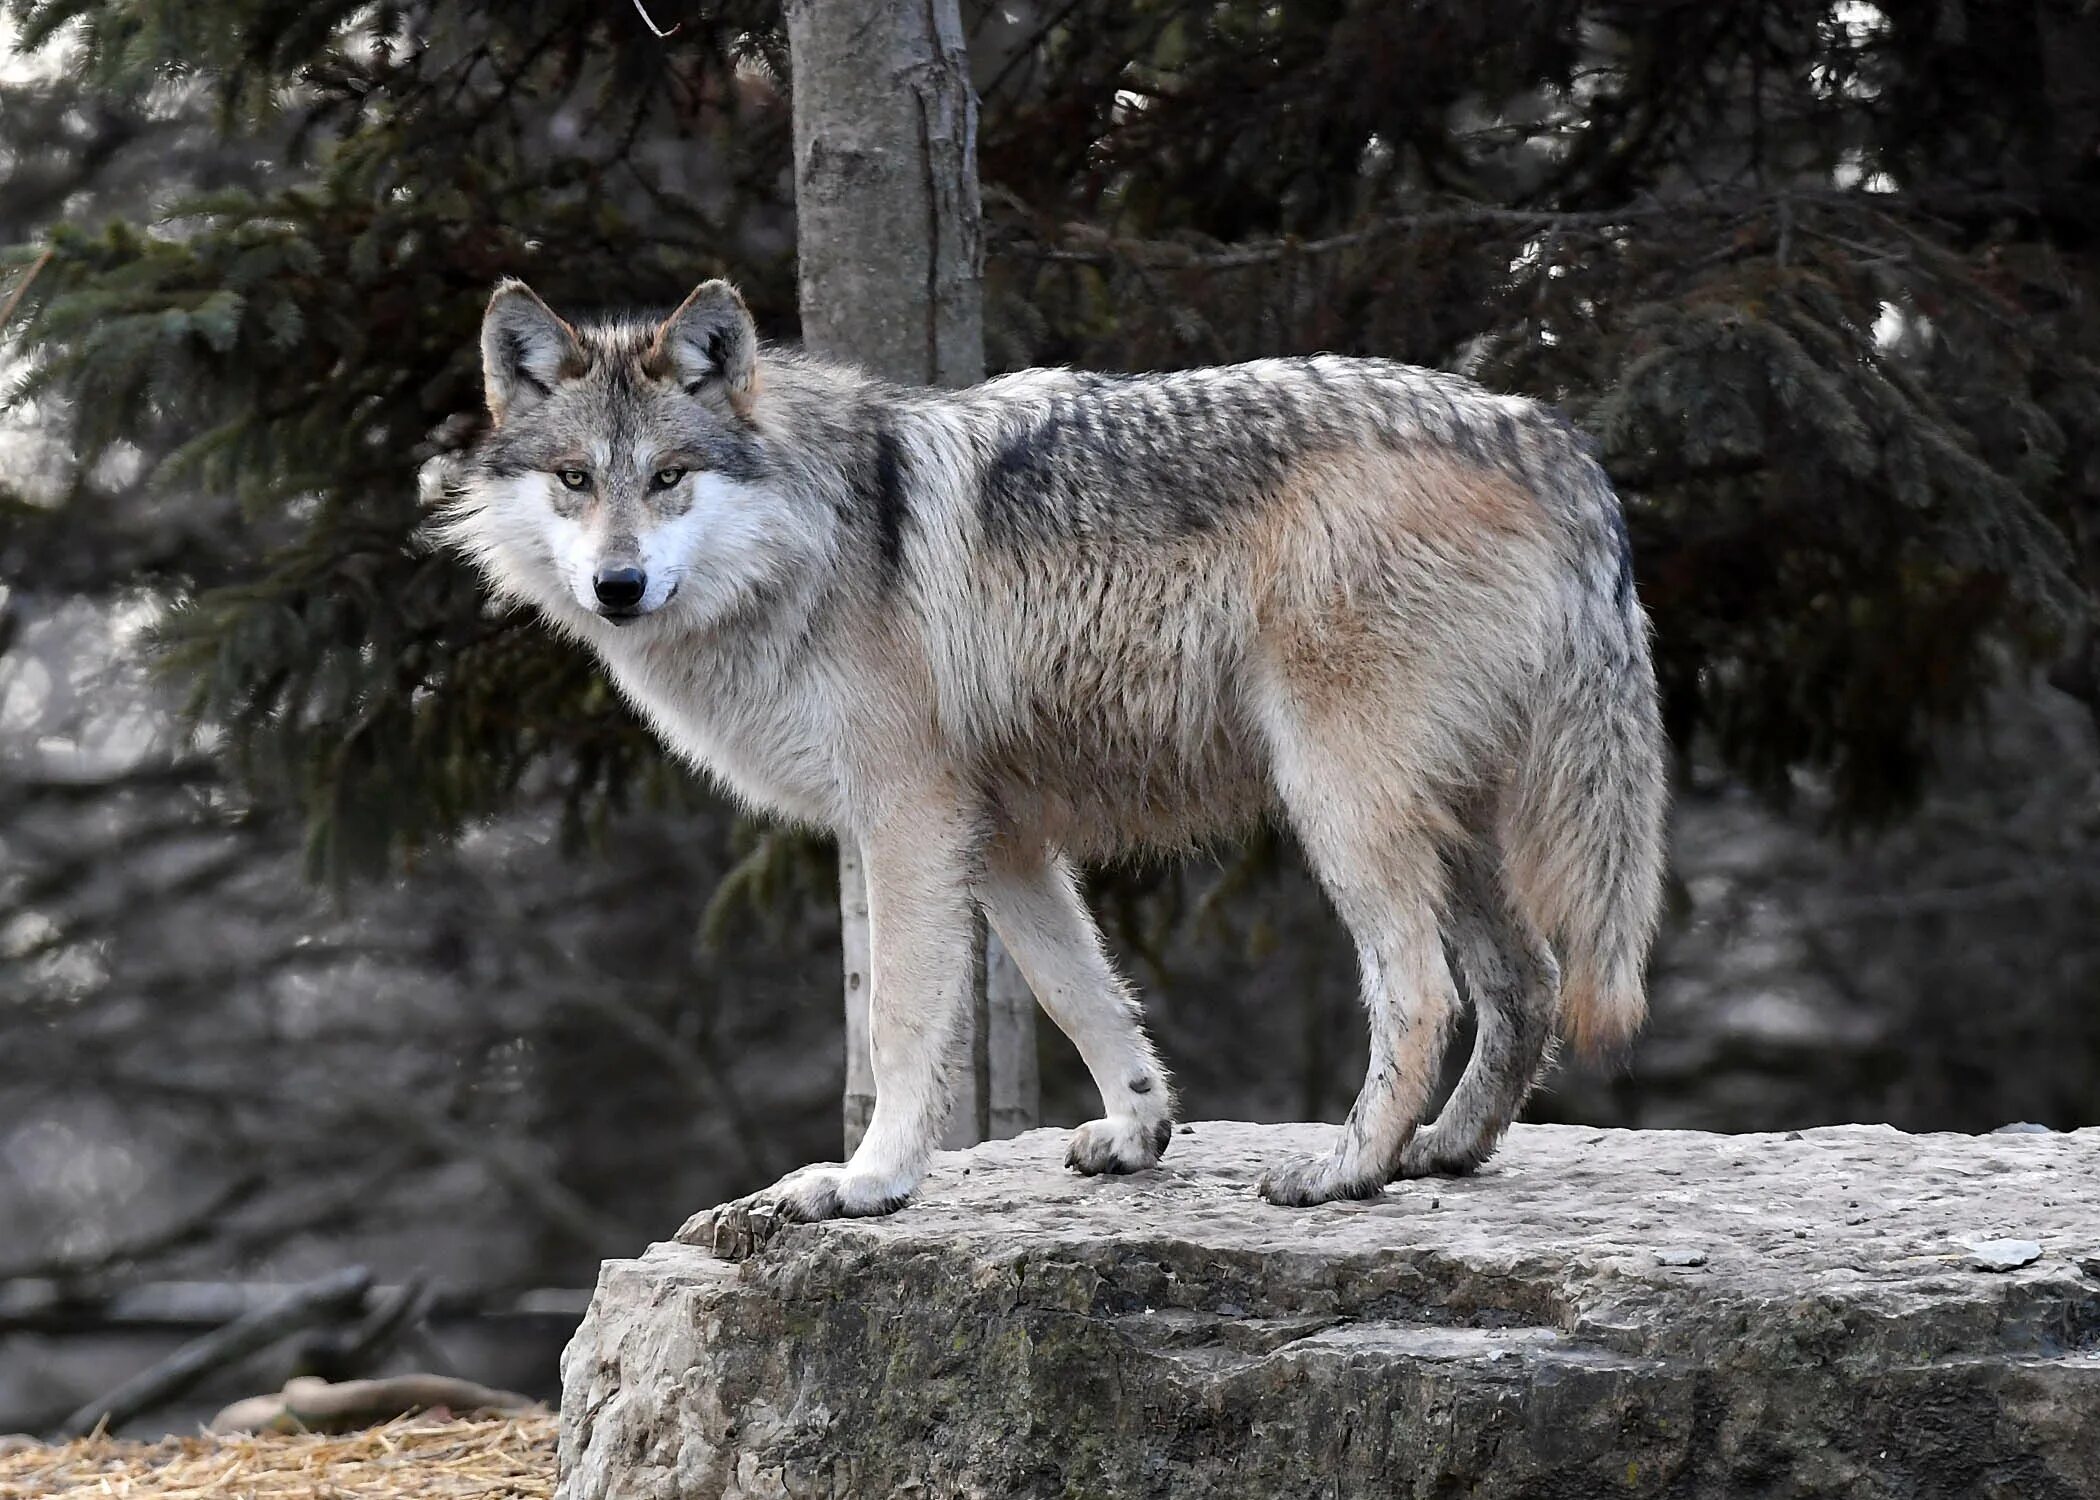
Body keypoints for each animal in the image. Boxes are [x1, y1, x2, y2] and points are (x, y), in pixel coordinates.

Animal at [434, 275, 1663, 1218]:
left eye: (669, 477)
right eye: (576, 479)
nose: (618, 584)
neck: (816, 540)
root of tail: (1547, 437)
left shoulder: (909, 823)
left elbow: (899, 1024)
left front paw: (869, 1181)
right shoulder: (1006, 840)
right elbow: (1084, 998)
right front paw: (1137, 1134)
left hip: (1341, 807)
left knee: (1423, 992)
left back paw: (1347, 1168)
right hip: (1452, 824)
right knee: (1527, 981)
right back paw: (1444, 1152)